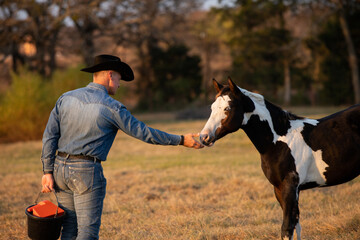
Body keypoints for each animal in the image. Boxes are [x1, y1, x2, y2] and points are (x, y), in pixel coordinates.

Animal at [200, 77, 360, 240]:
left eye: (228, 108)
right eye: (212, 107)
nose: (204, 137)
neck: (279, 141)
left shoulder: (290, 187)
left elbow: (287, 227)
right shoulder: (279, 189)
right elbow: (296, 225)